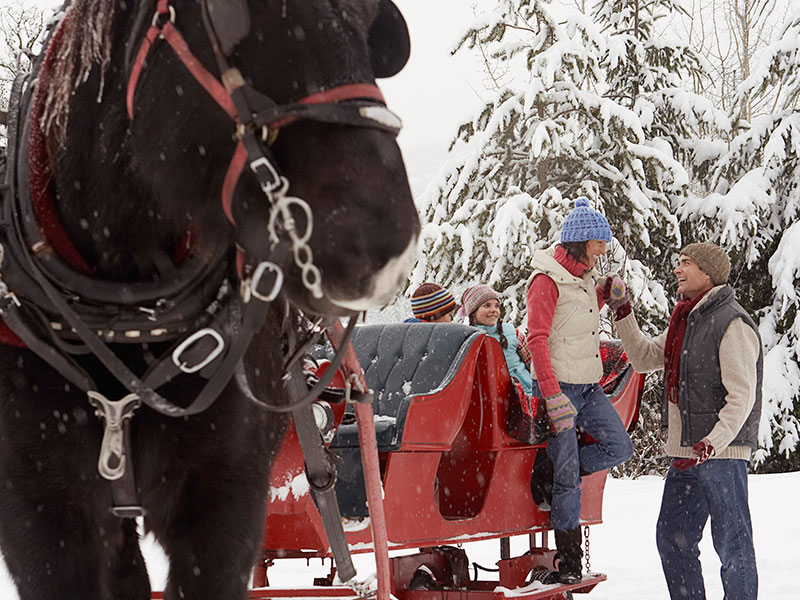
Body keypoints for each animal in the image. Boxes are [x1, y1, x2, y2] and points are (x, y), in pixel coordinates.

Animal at [0, 1, 416, 600]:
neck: (127, 318)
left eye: (367, 23)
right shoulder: (42, 522)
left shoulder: (227, 504)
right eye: (227, 16)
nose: (388, 243)